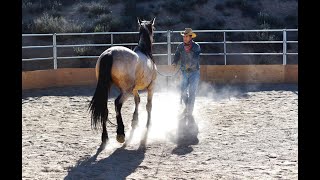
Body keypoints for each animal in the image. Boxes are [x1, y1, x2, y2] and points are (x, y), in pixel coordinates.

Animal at [89, 17, 156, 145]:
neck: (145, 52)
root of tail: (109, 53)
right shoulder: (151, 87)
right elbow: (148, 105)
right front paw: (148, 125)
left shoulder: (135, 89)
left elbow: (137, 101)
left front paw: (135, 121)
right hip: (126, 91)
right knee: (117, 104)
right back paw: (120, 133)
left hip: (108, 88)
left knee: (105, 108)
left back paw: (105, 137)